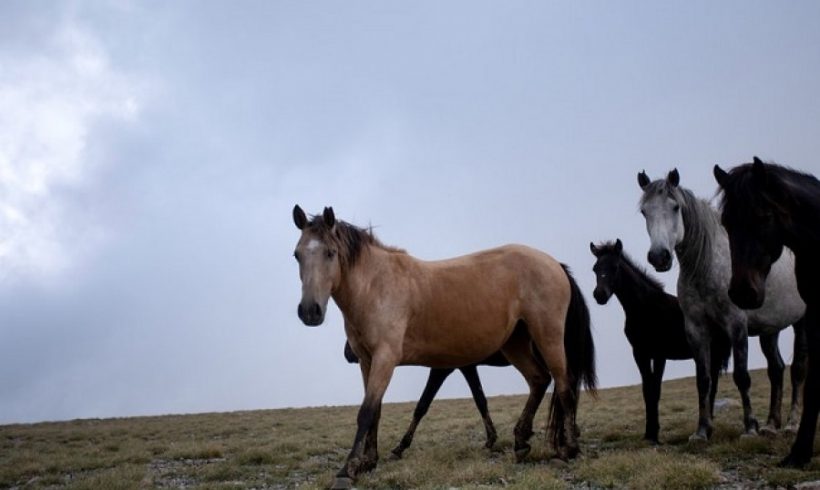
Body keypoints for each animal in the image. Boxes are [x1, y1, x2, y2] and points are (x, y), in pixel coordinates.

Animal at [342, 342, 510, 458]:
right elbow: (480, 400)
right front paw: (491, 438)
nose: (347, 353)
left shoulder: (443, 368)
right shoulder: (467, 366)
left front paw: (401, 447)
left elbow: (422, 405)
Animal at [588, 239, 692, 442]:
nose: (599, 295)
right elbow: (646, 390)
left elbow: (655, 390)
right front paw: (649, 433)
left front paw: (654, 434)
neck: (645, 308)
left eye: (615, 267)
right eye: (595, 268)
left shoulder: (660, 354)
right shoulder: (640, 353)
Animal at [636, 169, 804, 440]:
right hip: (770, 329)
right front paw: (702, 431)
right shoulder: (696, 330)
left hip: (802, 322)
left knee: (797, 368)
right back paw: (771, 424)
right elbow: (703, 380)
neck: (706, 267)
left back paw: (791, 424)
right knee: (776, 369)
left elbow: (742, 376)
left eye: (675, 207)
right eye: (644, 211)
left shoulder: (736, 326)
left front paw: (749, 427)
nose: (659, 257)